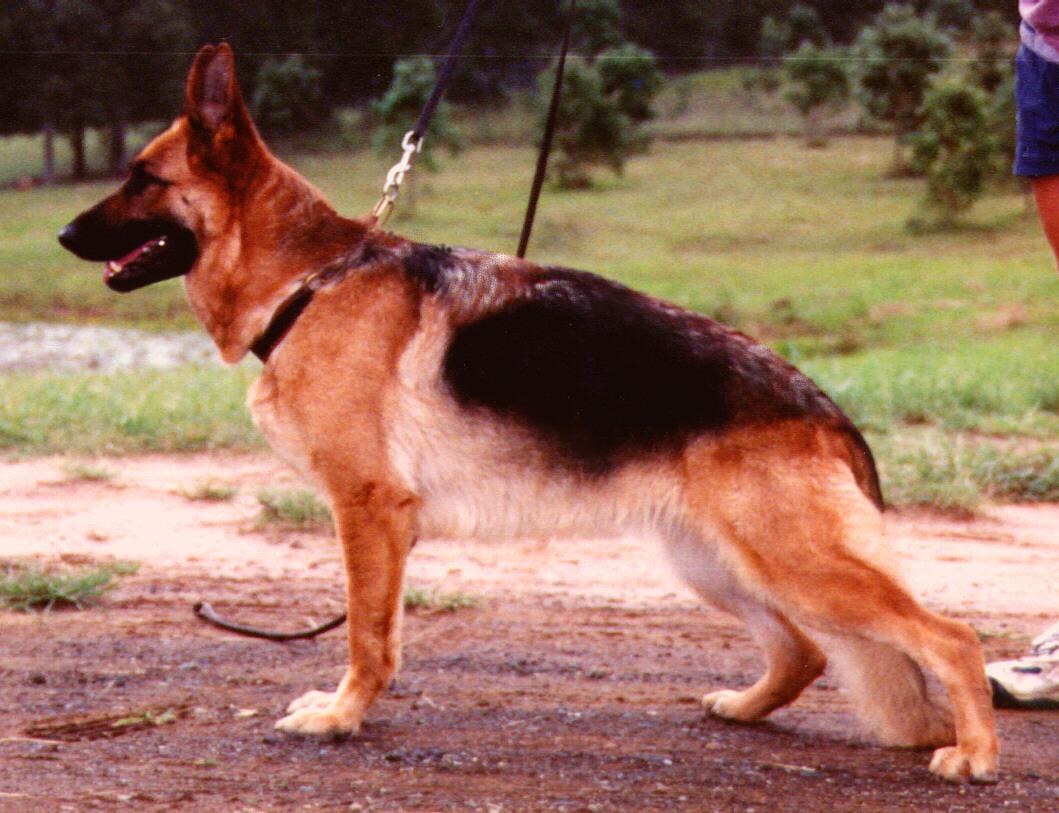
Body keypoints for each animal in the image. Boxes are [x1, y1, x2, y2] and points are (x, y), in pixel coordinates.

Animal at [57, 44, 995, 779]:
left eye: (142, 178)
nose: (63, 237)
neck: (310, 280)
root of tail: (826, 412)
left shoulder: (369, 509)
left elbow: (367, 633)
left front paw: (342, 716)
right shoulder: (377, 518)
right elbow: (373, 629)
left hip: (792, 561)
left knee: (951, 636)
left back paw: (974, 752)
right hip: (720, 563)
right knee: (804, 649)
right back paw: (744, 705)